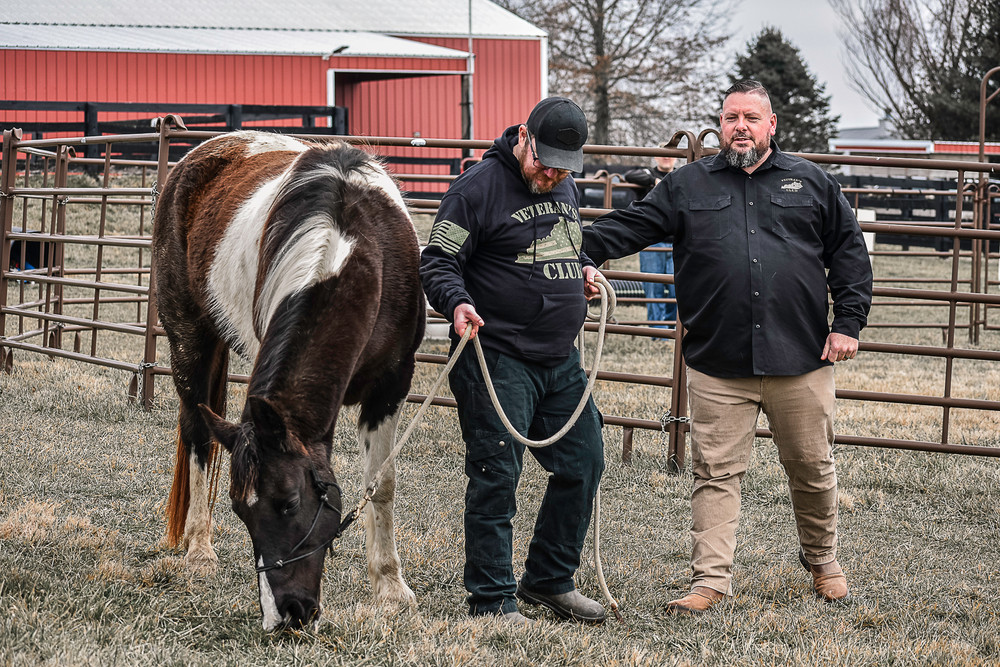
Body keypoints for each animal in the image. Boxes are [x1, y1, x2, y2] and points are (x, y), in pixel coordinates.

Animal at [150, 130, 424, 632]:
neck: (351, 246)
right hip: (189, 342)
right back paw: (199, 549)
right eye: (240, 511)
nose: (287, 615)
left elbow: (382, 484)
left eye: (290, 503)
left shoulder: (392, 386)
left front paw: (391, 589)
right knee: (199, 439)